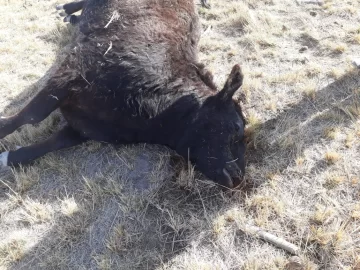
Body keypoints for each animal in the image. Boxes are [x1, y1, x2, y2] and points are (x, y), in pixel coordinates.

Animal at [0, 0, 248, 189]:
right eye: (235, 128)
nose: (238, 177)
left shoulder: (84, 127)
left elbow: (53, 142)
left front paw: (10, 158)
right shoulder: (70, 73)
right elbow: (32, 115)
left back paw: (71, 18)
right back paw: (66, 8)